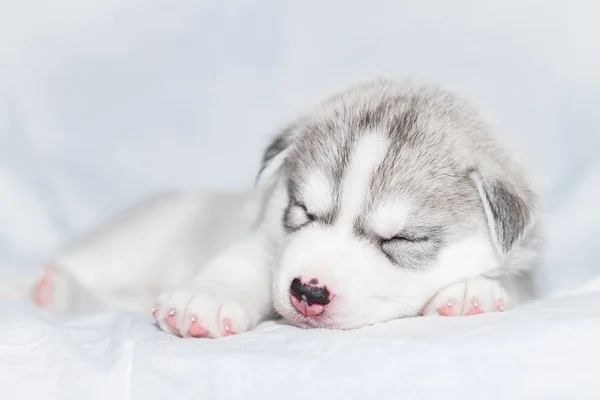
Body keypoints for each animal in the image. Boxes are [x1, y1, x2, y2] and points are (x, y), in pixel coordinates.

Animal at [19, 78, 540, 338]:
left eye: (401, 239)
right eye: (302, 210)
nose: (308, 291)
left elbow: (511, 284)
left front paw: (472, 291)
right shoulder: (264, 240)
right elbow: (242, 263)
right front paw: (206, 298)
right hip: (138, 239)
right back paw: (38, 288)